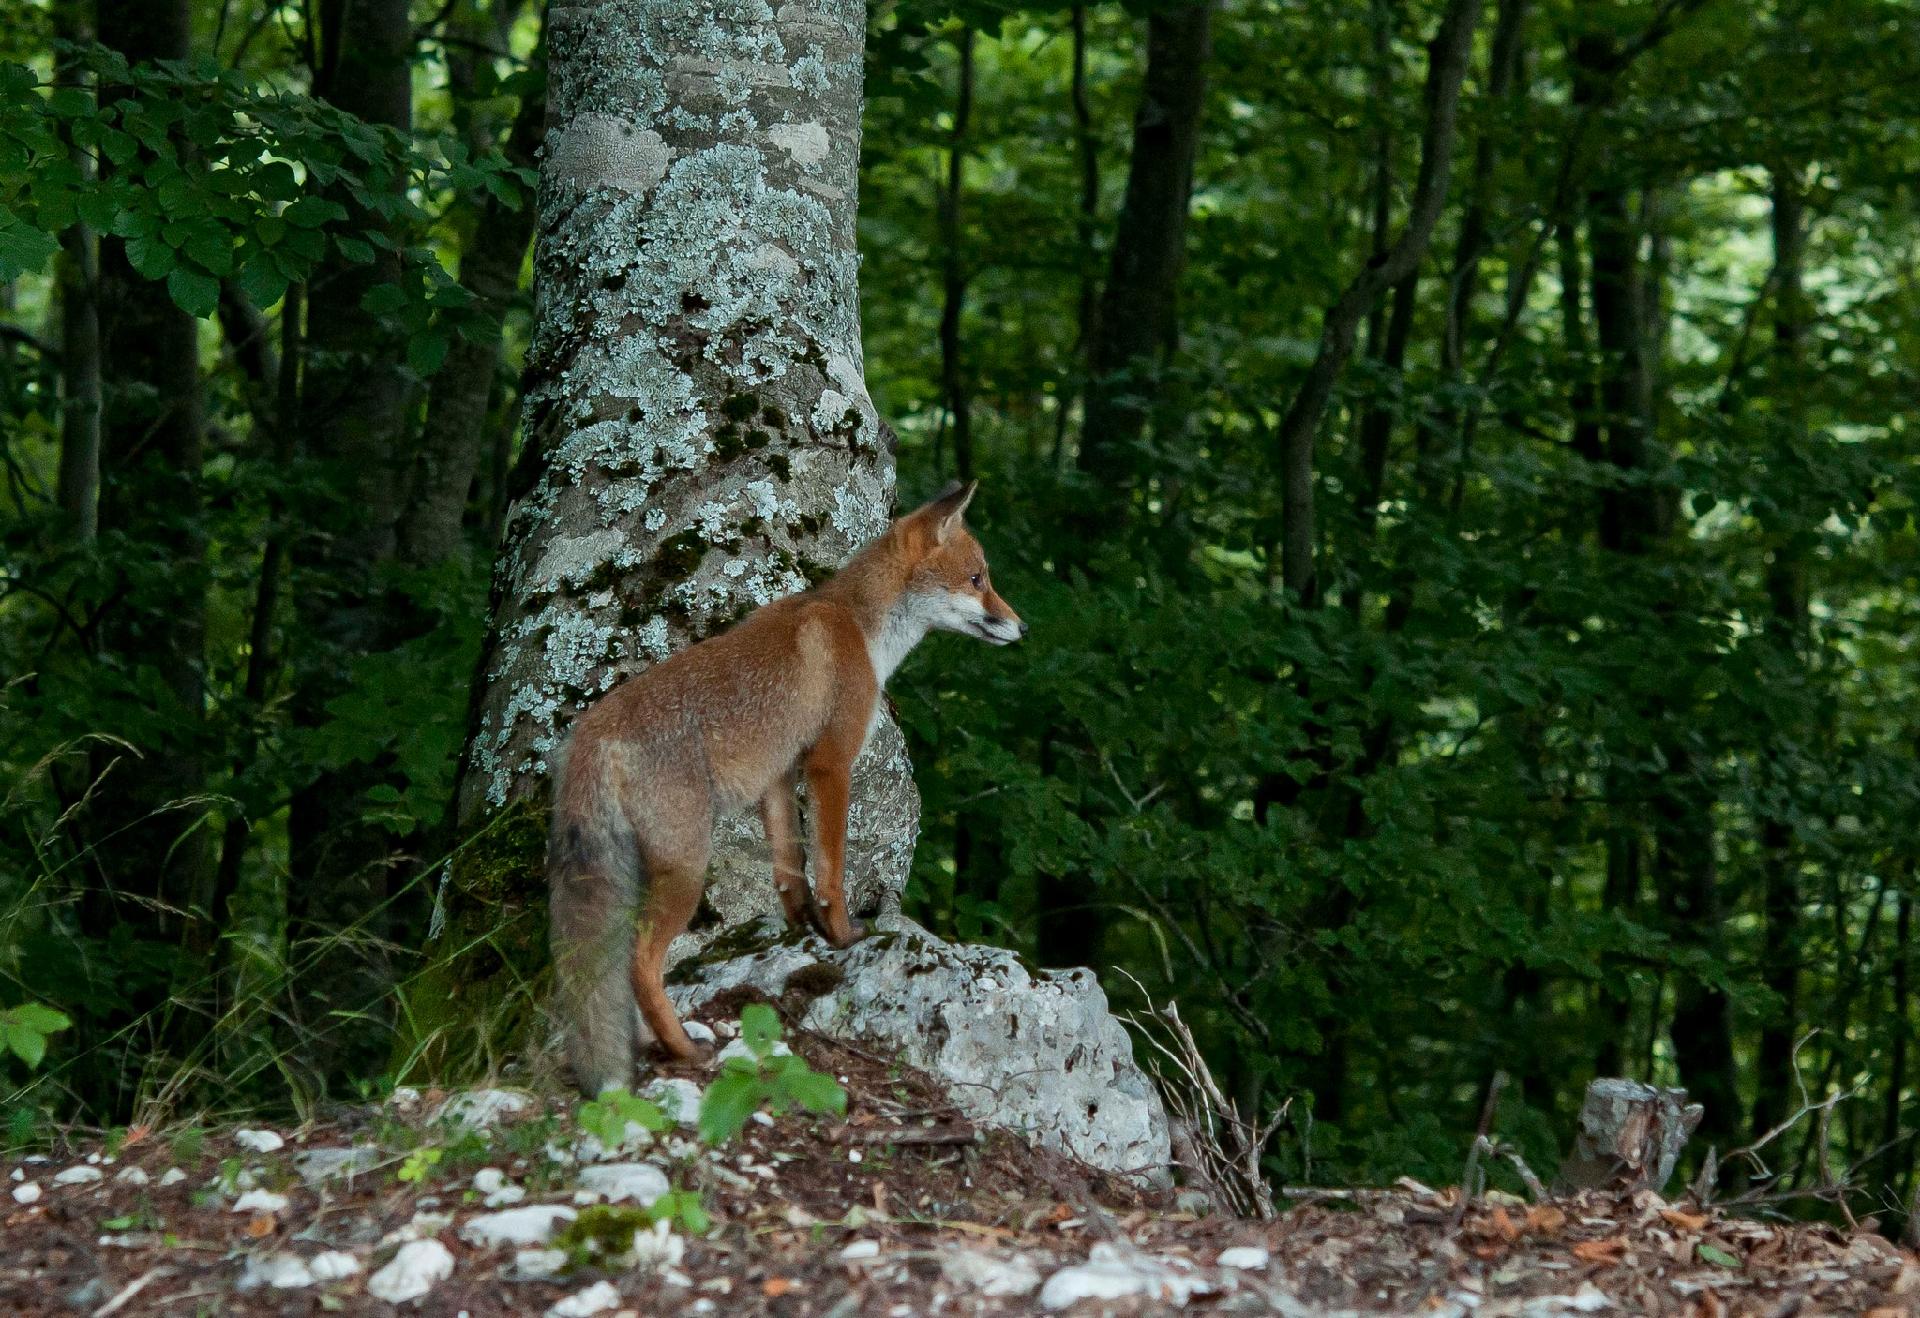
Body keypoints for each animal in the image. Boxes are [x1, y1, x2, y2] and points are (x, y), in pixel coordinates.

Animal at [546, 480, 1025, 1095]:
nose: (1022, 627)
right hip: (686, 866)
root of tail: (590, 735)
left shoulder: (778, 776)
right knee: (640, 963)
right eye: (977, 579)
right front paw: (843, 936)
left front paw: (802, 933)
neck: (861, 627)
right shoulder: (831, 762)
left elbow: (789, 869)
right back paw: (681, 1048)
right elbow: (831, 869)